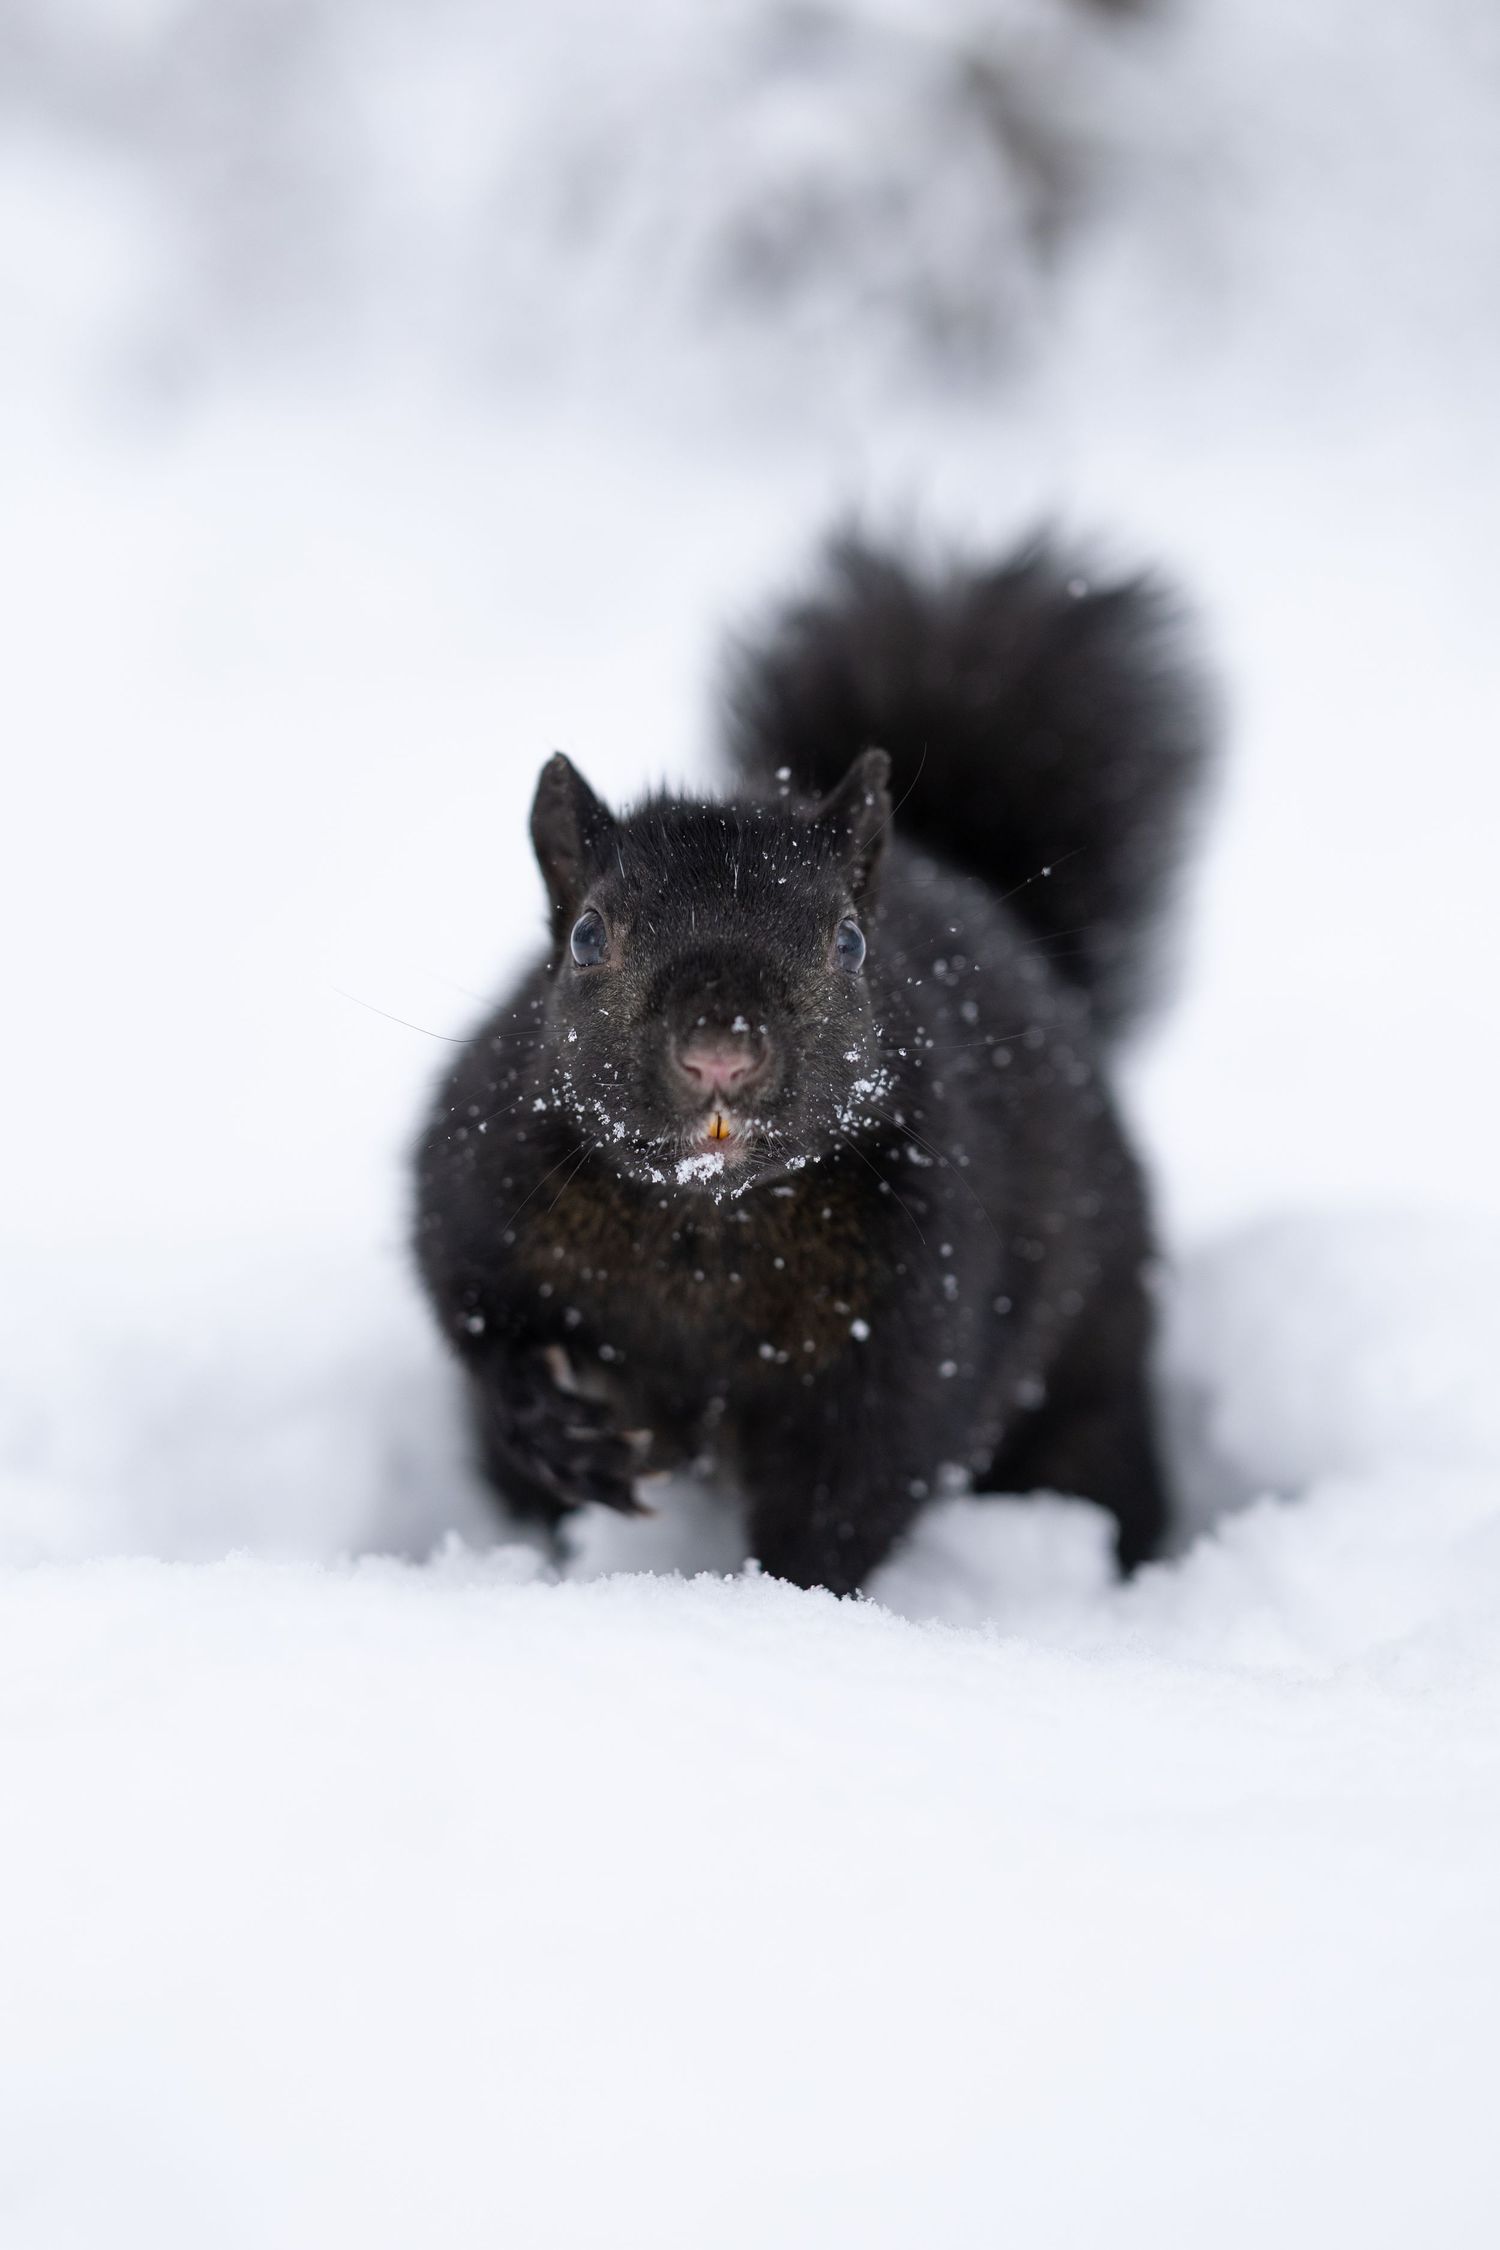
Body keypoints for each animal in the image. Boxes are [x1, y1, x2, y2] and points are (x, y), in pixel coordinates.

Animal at [413, 533, 1213, 1595]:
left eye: (848, 942)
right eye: (586, 936)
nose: (720, 1050)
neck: (704, 1224)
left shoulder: (918, 1316)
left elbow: (855, 1488)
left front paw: (780, 1609)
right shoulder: (477, 1172)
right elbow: (469, 1309)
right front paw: (560, 1430)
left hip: (1096, 1379)